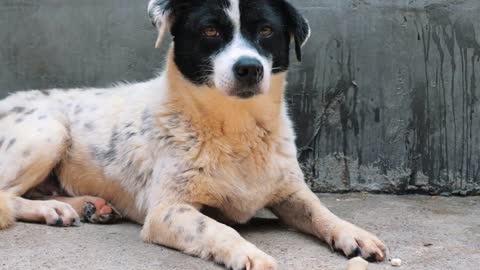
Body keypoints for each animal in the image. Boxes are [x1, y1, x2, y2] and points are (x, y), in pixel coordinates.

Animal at [0, 0, 384, 268]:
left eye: (265, 30)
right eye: (210, 31)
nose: (249, 68)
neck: (235, 130)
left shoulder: (290, 192)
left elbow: (321, 211)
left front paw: (354, 234)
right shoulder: (167, 212)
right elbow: (216, 228)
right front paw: (247, 253)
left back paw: (87, 205)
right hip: (49, 131)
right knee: (7, 196)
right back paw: (54, 210)